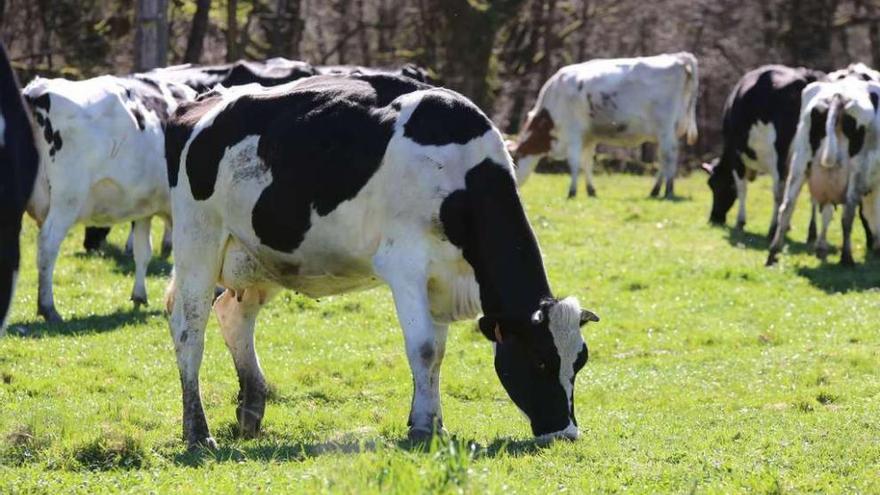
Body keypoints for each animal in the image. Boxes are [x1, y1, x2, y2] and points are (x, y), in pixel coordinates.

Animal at [22, 74, 197, 322]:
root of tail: (38, 89)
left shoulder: (144, 209)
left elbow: (143, 252)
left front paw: (139, 296)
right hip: (67, 199)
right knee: (47, 246)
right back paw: (48, 307)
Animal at [164, 73, 599, 450]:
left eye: (578, 363)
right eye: (540, 362)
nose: (566, 432)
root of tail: (204, 100)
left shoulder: (439, 281)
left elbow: (438, 354)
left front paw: (431, 421)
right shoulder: (406, 265)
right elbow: (424, 349)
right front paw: (424, 428)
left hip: (258, 257)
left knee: (234, 315)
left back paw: (251, 411)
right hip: (198, 238)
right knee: (189, 331)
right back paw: (198, 432)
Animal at [511, 52, 699, 199]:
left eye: (514, 161)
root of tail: (678, 57)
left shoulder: (573, 134)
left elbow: (574, 163)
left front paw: (572, 192)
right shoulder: (588, 137)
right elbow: (587, 162)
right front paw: (590, 191)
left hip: (665, 129)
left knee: (669, 156)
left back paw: (668, 191)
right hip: (669, 131)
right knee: (663, 159)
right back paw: (656, 190)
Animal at [703, 65, 825, 239]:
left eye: (714, 185)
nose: (714, 218)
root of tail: (805, 76)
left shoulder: (737, 157)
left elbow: (742, 188)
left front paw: (740, 222)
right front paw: (786, 226)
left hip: (780, 155)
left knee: (778, 191)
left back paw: (773, 229)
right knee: (813, 192)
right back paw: (811, 233)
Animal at [767, 77, 880, 266]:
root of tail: (839, 96)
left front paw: (821, 248)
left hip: (800, 161)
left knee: (787, 206)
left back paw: (773, 254)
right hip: (856, 169)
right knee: (848, 215)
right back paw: (847, 258)